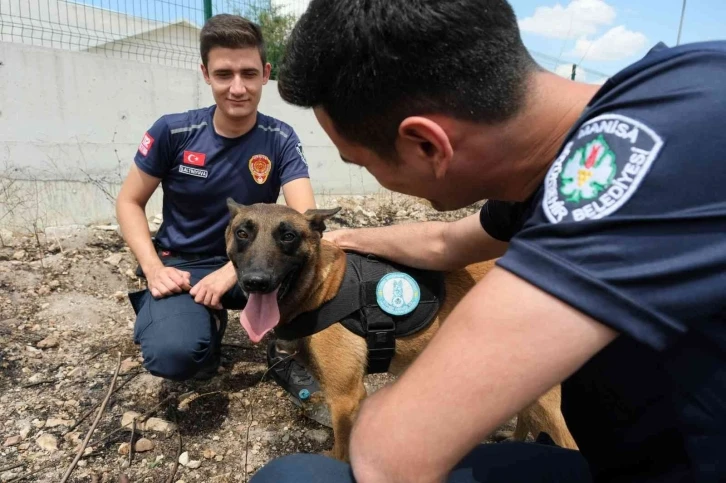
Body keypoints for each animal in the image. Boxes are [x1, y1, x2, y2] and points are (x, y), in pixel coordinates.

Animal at [225, 200, 576, 462]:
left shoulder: (346, 398)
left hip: (547, 399)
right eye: (242, 233)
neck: (321, 287)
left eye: (288, 236)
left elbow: (342, 448)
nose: (256, 282)